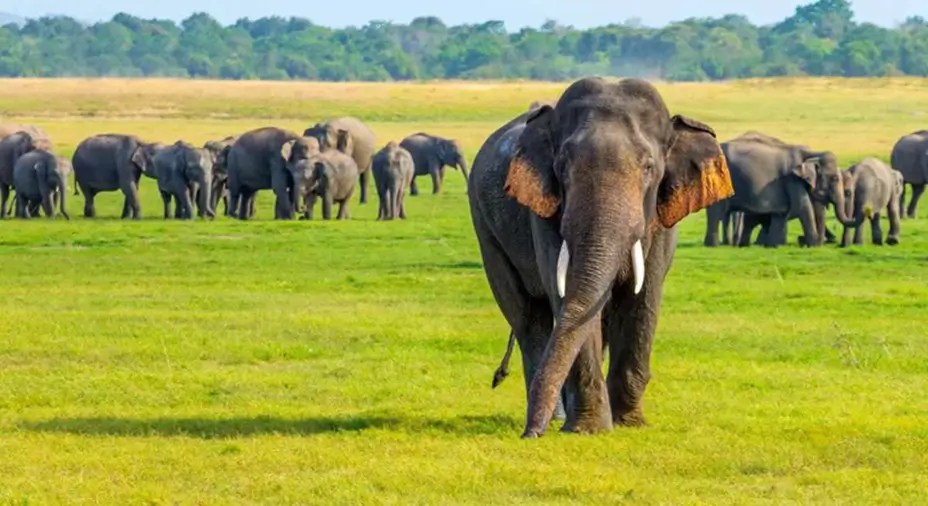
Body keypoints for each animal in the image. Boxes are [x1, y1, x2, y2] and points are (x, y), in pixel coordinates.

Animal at [468, 77, 734, 438]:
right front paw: (589, 429)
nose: (528, 435)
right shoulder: (545, 212)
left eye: (649, 167)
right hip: (486, 230)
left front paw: (629, 424)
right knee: (528, 317)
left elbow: (644, 298)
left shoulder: (661, 219)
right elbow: (566, 296)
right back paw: (556, 419)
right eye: (562, 167)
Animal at [703, 131, 855, 247]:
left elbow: (781, 213)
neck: (811, 153)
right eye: (834, 178)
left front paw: (775, 246)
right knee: (716, 212)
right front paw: (814, 246)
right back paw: (713, 246)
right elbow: (803, 208)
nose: (801, 239)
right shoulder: (792, 180)